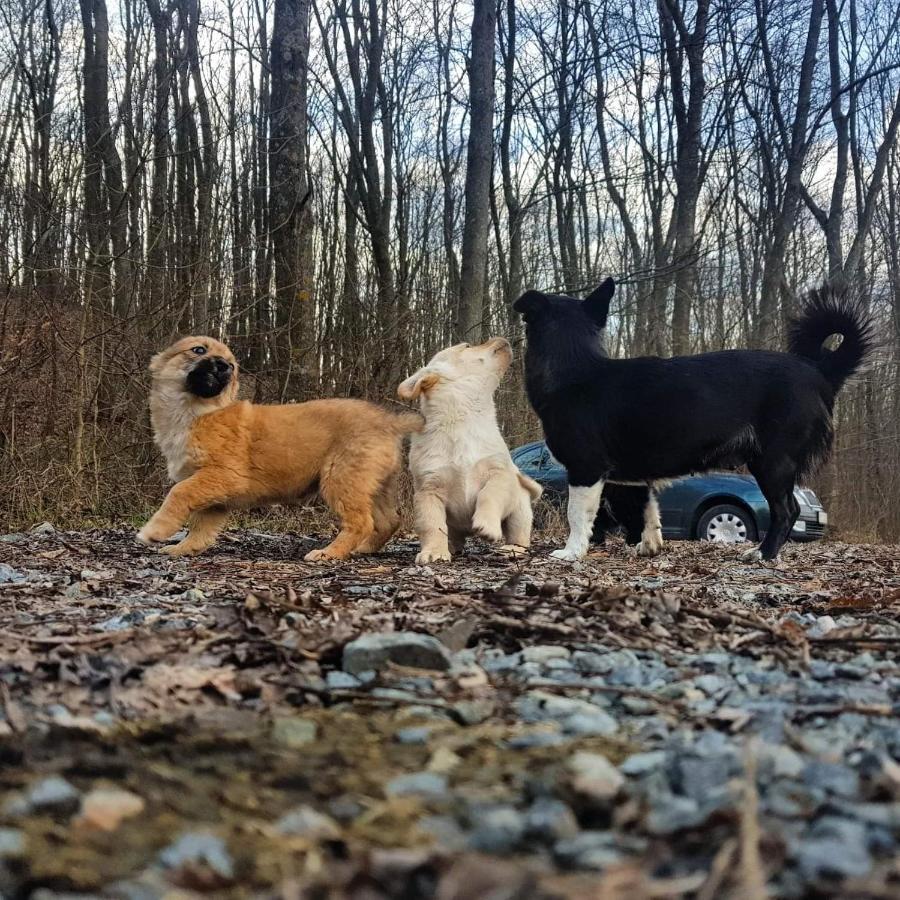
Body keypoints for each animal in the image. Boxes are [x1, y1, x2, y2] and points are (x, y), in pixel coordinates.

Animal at [139, 338, 424, 564]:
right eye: (198, 349)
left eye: (231, 363)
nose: (225, 366)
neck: (199, 411)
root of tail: (389, 421)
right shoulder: (215, 493)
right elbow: (201, 527)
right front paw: (183, 548)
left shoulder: (224, 476)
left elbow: (178, 493)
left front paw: (155, 531)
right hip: (374, 484)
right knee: (389, 520)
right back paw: (363, 548)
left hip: (342, 478)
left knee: (361, 522)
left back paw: (330, 552)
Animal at [400, 338, 540, 564]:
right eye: (467, 346)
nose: (503, 339)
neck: (464, 419)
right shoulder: (428, 490)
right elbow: (432, 525)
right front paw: (434, 552)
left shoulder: (499, 474)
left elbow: (488, 495)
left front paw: (487, 526)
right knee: (453, 536)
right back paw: (450, 547)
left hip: (520, 510)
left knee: (519, 535)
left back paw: (510, 549)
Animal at [512, 282, 872, 564]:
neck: (574, 368)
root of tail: (818, 370)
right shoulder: (633, 479)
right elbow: (646, 513)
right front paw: (648, 546)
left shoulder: (585, 470)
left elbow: (578, 514)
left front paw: (571, 552)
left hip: (773, 462)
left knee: (787, 511)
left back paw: (763, 553)